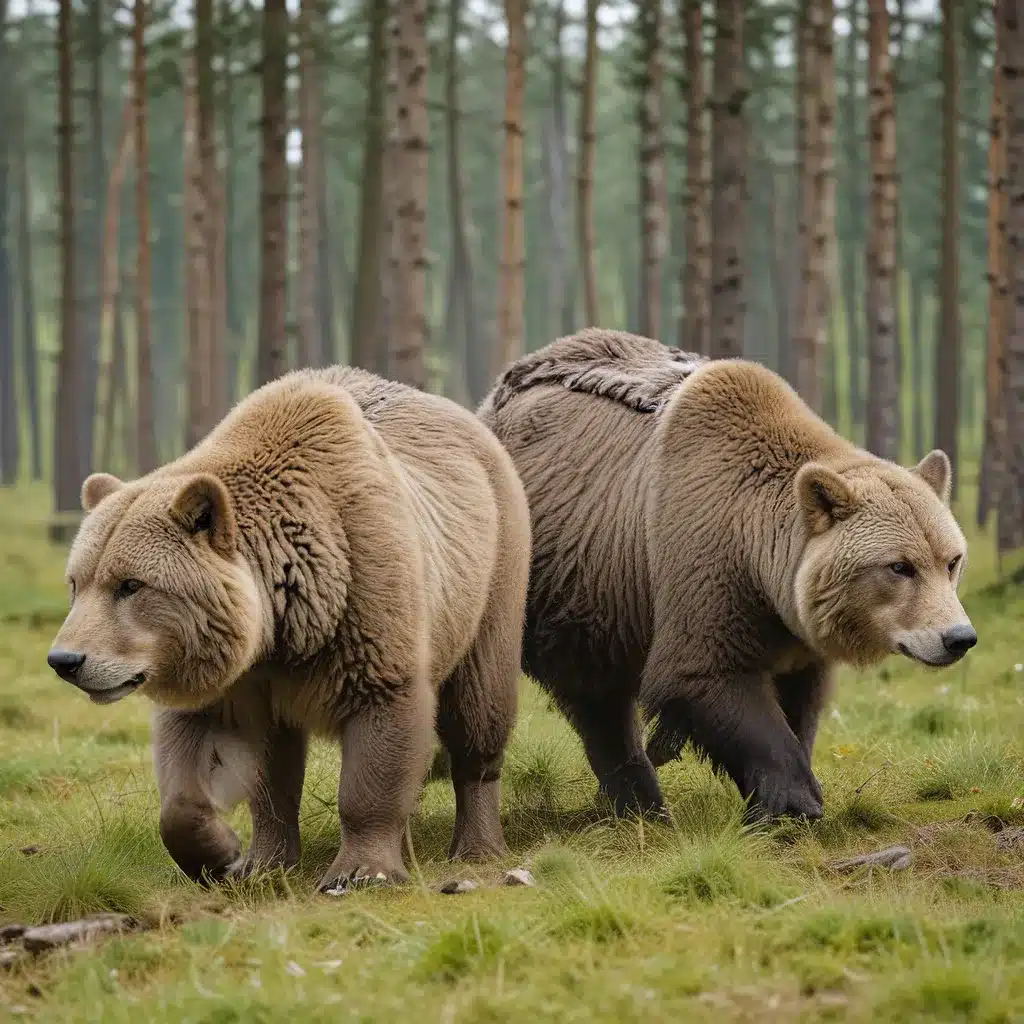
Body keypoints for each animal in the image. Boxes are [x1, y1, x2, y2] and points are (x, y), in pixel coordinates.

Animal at [45, 364, 532, 892]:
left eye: (130, 584)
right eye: (76, 582)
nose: (66, 659)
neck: (285, 615)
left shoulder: (368, 595)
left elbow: (381, 735)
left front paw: (361, 870)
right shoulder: (228, 672)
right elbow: (194, 764)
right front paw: (225, 855)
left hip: (489, 575)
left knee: (479, 707)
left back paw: (477, 844)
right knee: (277, 762)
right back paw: (270, 858)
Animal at [477, 327, 974, 823]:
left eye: (951, 560)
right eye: (900, 566)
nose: (958, 637)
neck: (763, 564)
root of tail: (494, 396)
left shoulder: (792, 630)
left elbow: (801, 699)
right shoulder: (704, 565)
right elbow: (706, 676)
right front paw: (795, 802)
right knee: (592, 699)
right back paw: (643, 801)